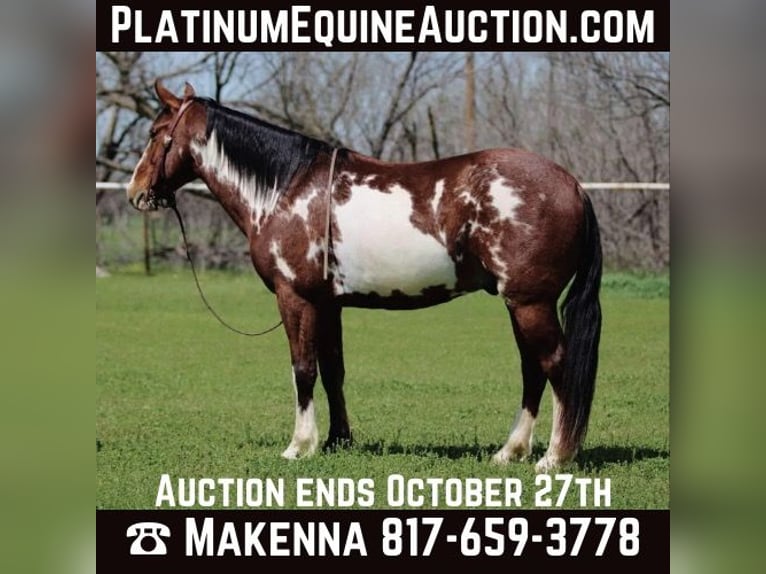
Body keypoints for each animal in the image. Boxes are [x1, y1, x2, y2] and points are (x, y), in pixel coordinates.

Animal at [126, 80, 602, 472]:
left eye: (153, 133)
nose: (135, 193)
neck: (287, 189)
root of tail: (573, 186)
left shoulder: (295, 298)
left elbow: (303, 368)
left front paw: (299, 445)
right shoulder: (328, 304)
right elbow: (332, 369)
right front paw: (338, 440)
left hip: (530, 303)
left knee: (556, 366)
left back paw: (554, 457)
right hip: (519, 303)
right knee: (532, 369)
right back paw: (510, 452)